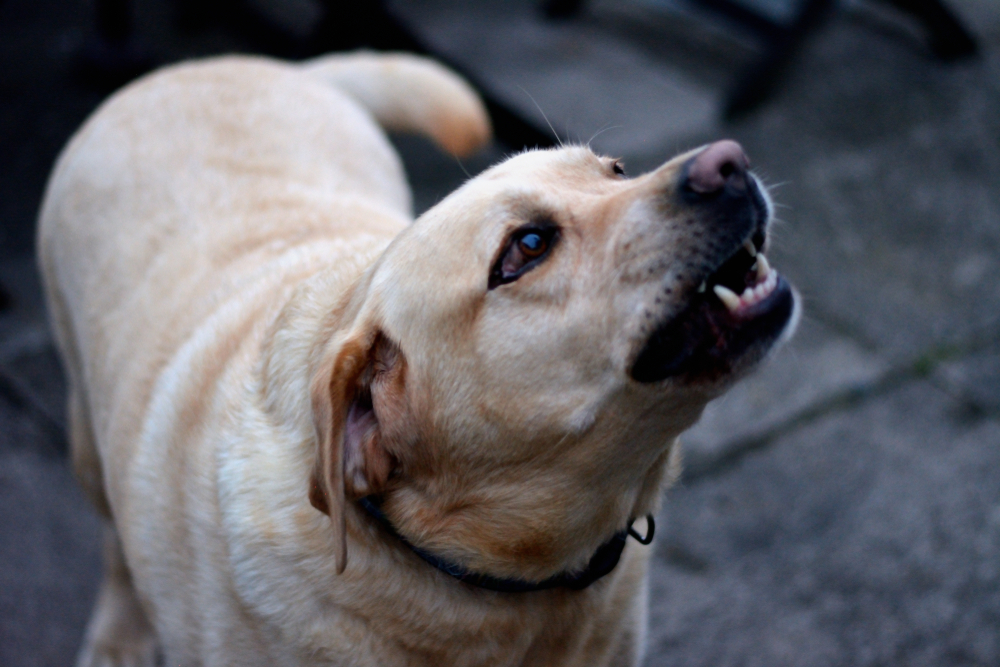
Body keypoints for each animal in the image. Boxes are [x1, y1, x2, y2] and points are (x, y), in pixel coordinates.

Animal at [39, 49, 800, 664]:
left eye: (613, 171)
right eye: (526, 248)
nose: (730, 162)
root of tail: (223, 63)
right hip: (85, 441)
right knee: (113, 542)